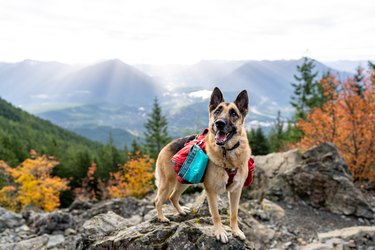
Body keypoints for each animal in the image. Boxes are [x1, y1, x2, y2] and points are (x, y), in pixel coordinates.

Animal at [154, 87, 251, 243]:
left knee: (173, 197)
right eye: (217, 111)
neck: (227, 153)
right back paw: (162, 218)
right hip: (168, 183)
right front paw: (220, 232)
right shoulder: (211, 191)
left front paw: (236, 231)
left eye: (233, 113)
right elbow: (216, 214)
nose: (219, 123)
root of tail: (165, 147)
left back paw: (181, 211)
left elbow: (234, 213)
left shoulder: (236, 191)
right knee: (158, 200)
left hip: (184, 181)